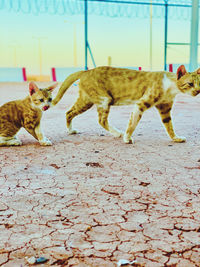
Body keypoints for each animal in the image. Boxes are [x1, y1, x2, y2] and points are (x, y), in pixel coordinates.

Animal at [52, 64, 200, 143]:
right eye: (190, 84)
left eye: (199, 83)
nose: (198, 91)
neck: (171, 88)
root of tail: (86, 70)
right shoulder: (141, 103)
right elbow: (132, 123)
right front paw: (127, 138)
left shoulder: (164, 108)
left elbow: (169, 126)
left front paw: (176, 138)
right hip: (104, 99)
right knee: (101, 120)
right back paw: (117, 133)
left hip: (86, 101)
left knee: (69, 112)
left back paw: (71, 130)